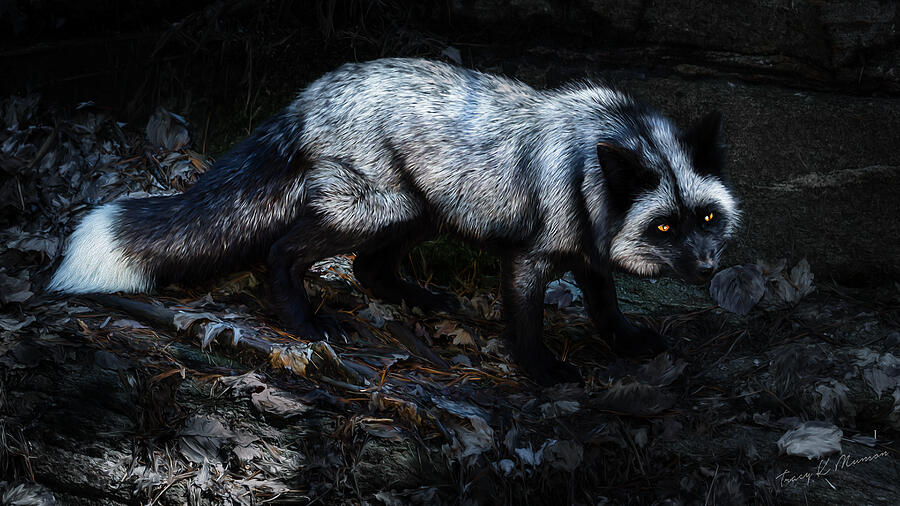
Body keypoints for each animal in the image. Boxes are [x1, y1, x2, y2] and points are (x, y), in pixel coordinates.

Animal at [50, 58, 739, 385]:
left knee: (370, 268)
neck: (590, 161)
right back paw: (305, 324)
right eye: (664, 227)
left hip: (422, 211)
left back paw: (423, 300)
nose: (709, 267)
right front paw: (543, 373)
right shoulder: (532, 257)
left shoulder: (589, 253)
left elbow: (607, 308)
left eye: (706, 216)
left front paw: (626, 342)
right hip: (377, 208)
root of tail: (306, 97)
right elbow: (527, 324)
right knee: (284, 251)